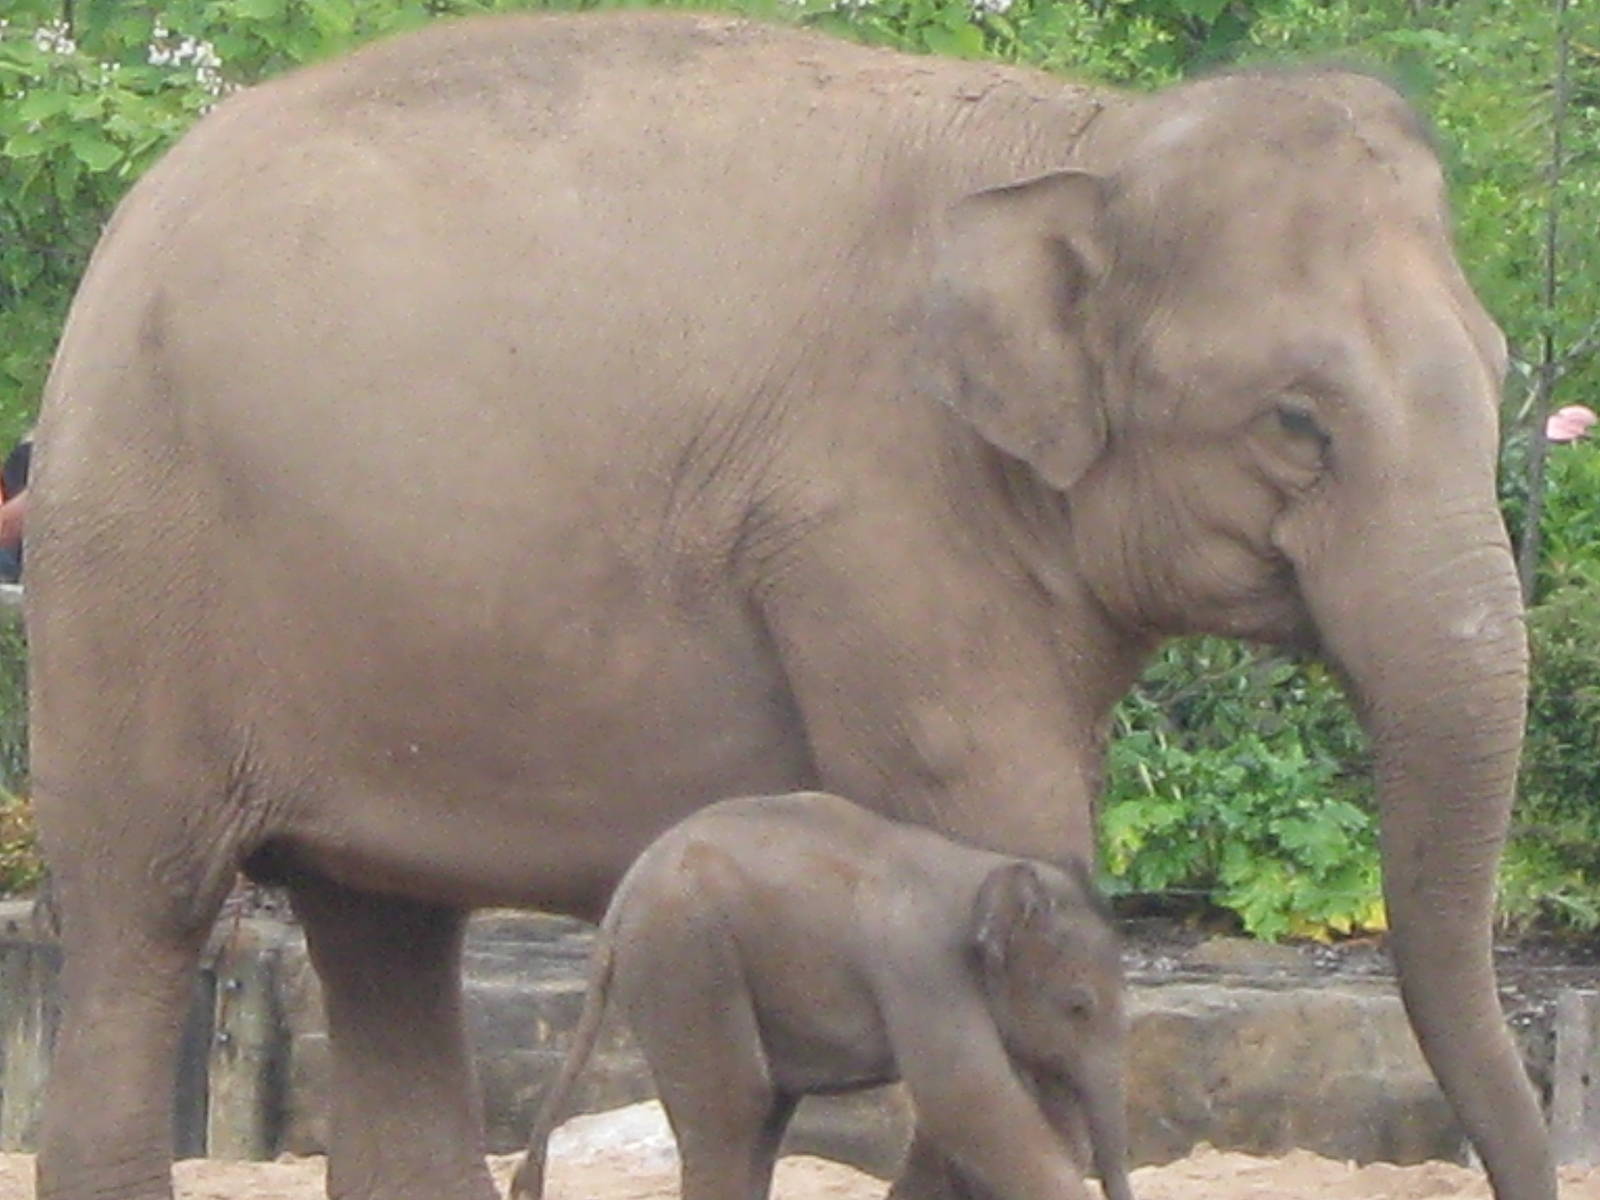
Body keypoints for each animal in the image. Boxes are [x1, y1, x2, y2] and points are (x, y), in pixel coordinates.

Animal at [511, 791, 1131, 1200]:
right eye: (1079, 1005)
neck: (981, 867)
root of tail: (619, 904)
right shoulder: (922, 966)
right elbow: (966, 1099)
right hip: (686, 957)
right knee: (733, 1108)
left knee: (762, 1115)